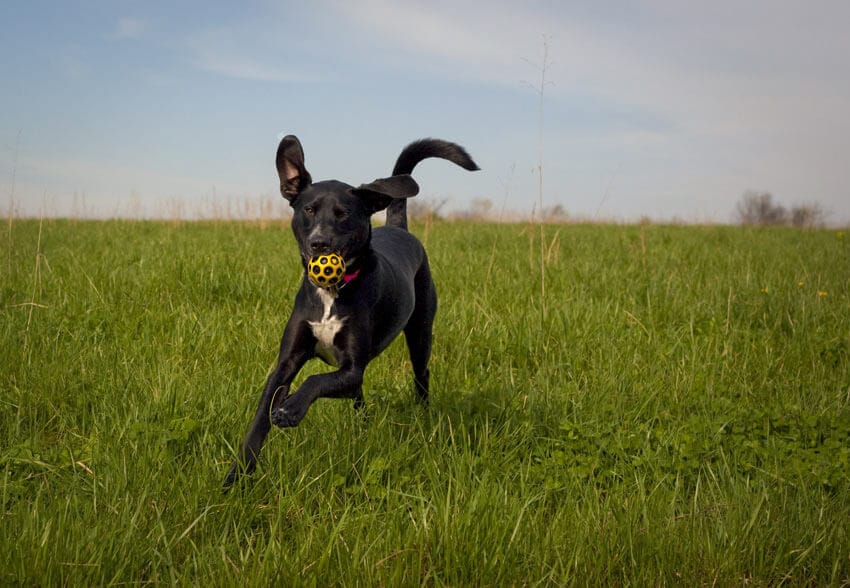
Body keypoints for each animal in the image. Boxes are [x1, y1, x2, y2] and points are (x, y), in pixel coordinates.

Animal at [224, 134, 476, 486]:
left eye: (343, 214)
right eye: (308, 209)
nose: (319, 243)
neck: (333, 292)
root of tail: (399, 227)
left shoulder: (352, 366)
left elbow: (315, 380)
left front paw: (291, 409)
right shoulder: (287, 363)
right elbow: (261, 417)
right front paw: (237, 475)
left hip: (420, 331)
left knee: (421, 374)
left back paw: (423, 415)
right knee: (358, 396)